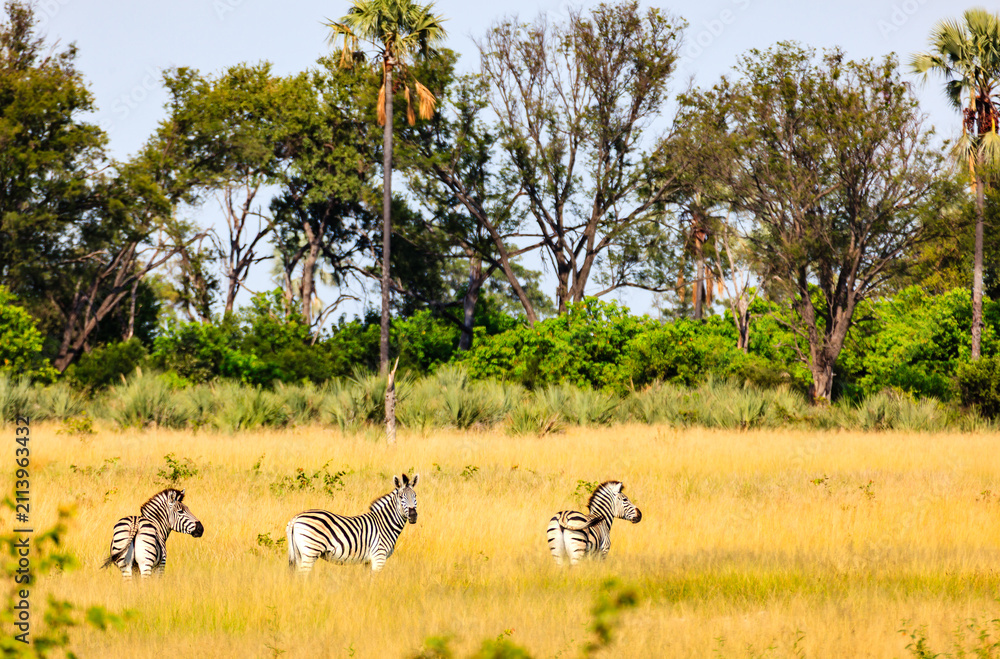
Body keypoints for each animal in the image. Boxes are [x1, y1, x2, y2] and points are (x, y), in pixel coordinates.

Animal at [286, 473, 419, 573]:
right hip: (310, 551)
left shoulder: (368, 561)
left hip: (298, 553)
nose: (413, 516)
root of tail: (295, 518)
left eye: (415, 496)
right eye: (401, 497)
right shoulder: (379, 557)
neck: (385, 524)